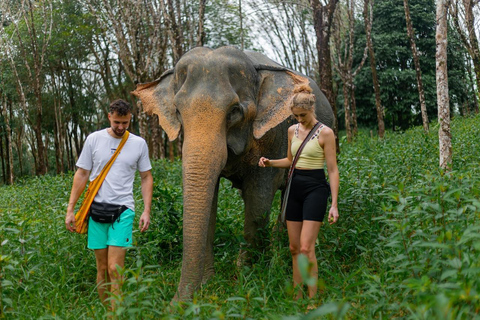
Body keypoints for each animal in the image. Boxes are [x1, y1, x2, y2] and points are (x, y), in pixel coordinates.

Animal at [131, 45, 334, 300]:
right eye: (177, 111)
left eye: (235, 111)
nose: (175, 302)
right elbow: (210, 203)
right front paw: (208, 282)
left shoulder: (273, 136)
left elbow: (258, 203)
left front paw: (244, 277)